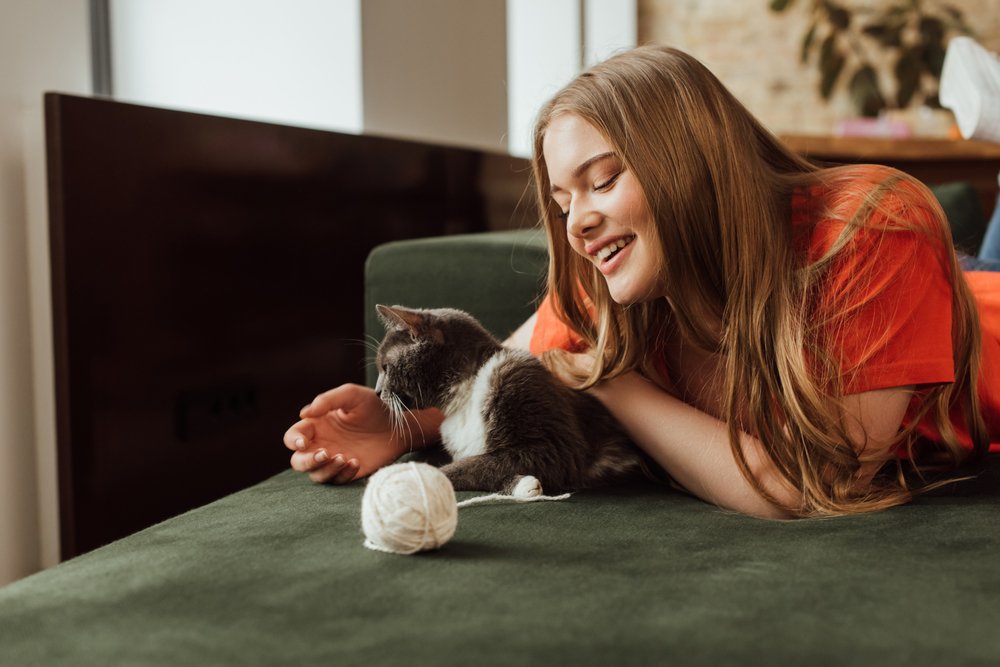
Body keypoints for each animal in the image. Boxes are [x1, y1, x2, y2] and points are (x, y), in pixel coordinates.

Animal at [374, 306, 640, 498]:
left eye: (385, 367)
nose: (376, 392)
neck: (465, 396)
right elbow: (483, 464)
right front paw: (523, 485)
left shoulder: (523, 386)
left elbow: (478, 465)